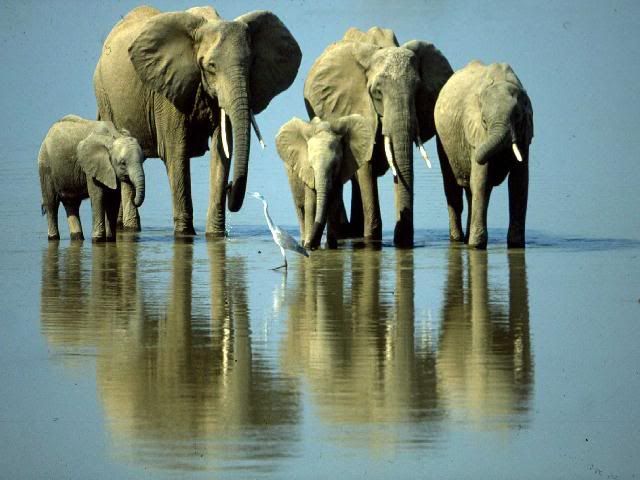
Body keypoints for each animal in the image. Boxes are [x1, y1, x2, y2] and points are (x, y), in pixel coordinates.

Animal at [94, 6, 302, 236]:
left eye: (250, 65)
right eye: (211, 66)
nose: (231, 187)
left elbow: (223, 151)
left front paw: (215, 234)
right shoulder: (167, 90)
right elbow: (176, 153)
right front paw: (185, 235)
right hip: (104, 96)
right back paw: (131, 228)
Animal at [275, 115, 374, 249]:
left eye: (335, 165)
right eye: (311, 166)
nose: (311, 246)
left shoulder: (341, 172)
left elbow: (334, 204)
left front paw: (331, 247)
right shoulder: (307, 173)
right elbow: (311, 205)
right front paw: (309, 244)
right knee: (300, 208)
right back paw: (303, 241)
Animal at [434, 61, 534, 249]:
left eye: (517, 117)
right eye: (484, 121)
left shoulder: (525, 135)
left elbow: (519, 182)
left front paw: (516, 245)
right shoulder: (476, 133)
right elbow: (481, 180)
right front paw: (476, 246)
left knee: (469, 192)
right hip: (443, 140)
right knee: (454, 188)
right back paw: (458, 239)